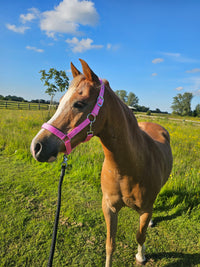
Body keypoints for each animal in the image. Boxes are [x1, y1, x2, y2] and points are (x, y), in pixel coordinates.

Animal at [30, 58, 173, 266]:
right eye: (61, 101)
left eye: (79, 104)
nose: (37, 147)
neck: (129, 169)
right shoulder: (109, 207)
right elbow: (110, 245)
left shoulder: (145, 210)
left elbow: (140, 235)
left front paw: (141, 256)